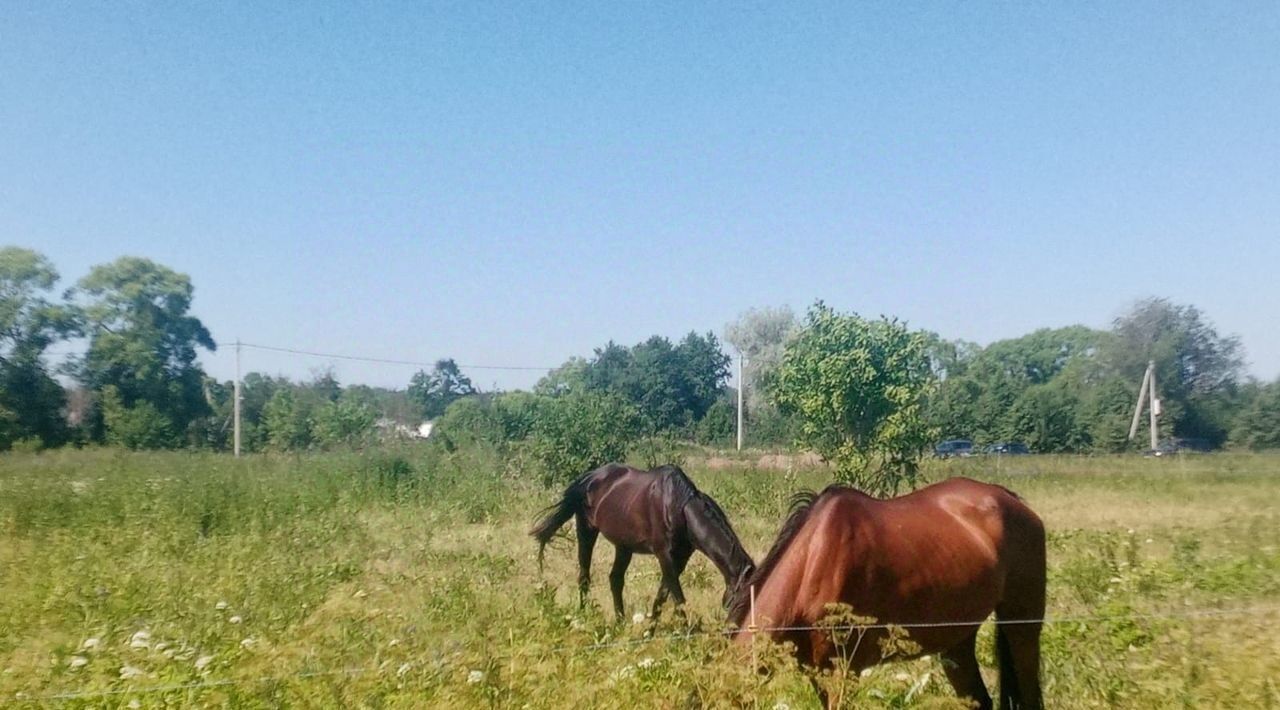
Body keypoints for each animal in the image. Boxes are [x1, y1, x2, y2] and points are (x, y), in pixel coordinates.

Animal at [527, 463, 752, 619]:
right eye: (742, 602)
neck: (679, 508)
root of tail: (590, 477)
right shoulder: (664, 555)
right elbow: (678, 598)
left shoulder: (680, 559)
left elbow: (662, 596)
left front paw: (649, 632)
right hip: (586, 531)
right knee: (584, 576)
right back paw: (584, 616)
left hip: (623, 547)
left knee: (615, 580)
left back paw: (620, 621)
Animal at [727, 478, 1044, 710]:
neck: (813, 560)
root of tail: (1010, 499)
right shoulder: (819, 674)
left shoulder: (844, 672)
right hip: (958, 640)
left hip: (1023, 629)